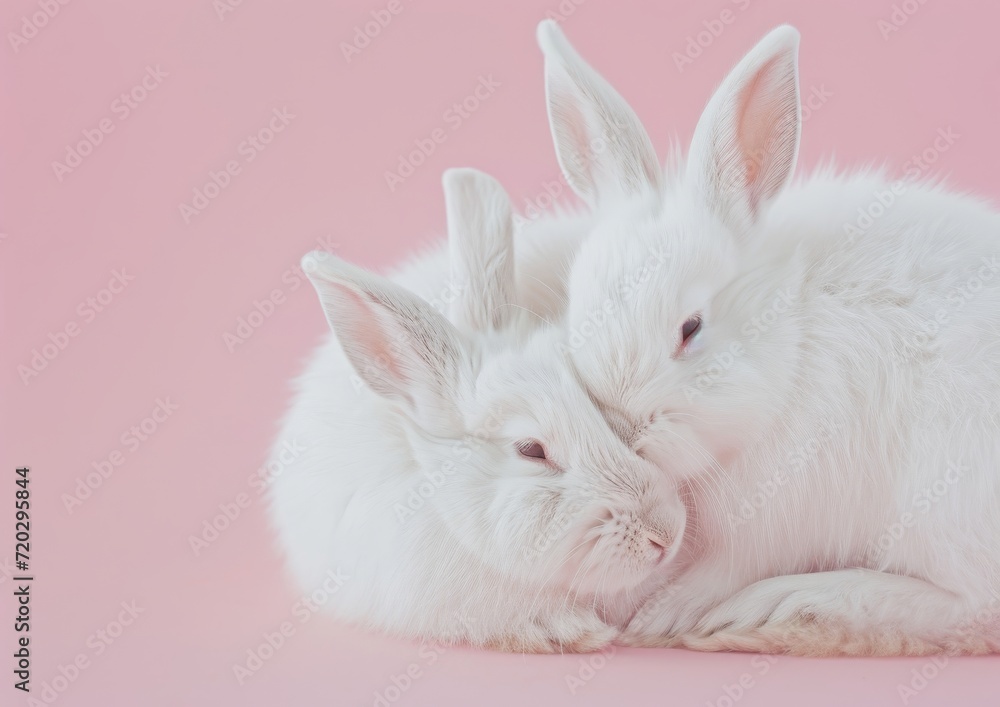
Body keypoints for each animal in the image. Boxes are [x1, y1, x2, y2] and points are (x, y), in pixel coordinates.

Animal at [534, 19, 1000, 655]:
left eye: (691, 328)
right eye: (576, 311)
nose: (625, 428)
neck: (792, 344)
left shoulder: (773, 521)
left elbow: (722, 570)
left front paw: (664, 615)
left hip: (943, 501)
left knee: (970, 606)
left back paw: (793, 603)